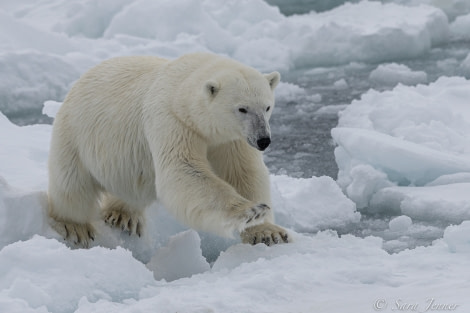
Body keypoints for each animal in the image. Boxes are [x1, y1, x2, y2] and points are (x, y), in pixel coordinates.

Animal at [48, 54, 290, 249]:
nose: (263, 140)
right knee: (72, 184)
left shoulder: (231, 139)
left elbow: (243, 173)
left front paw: (268, 232)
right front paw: (251, 211)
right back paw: (74, 225)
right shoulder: (172, 120)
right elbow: (183, 170)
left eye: (267, 107)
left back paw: (125, 216)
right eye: (242, 109)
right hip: (74, 133)